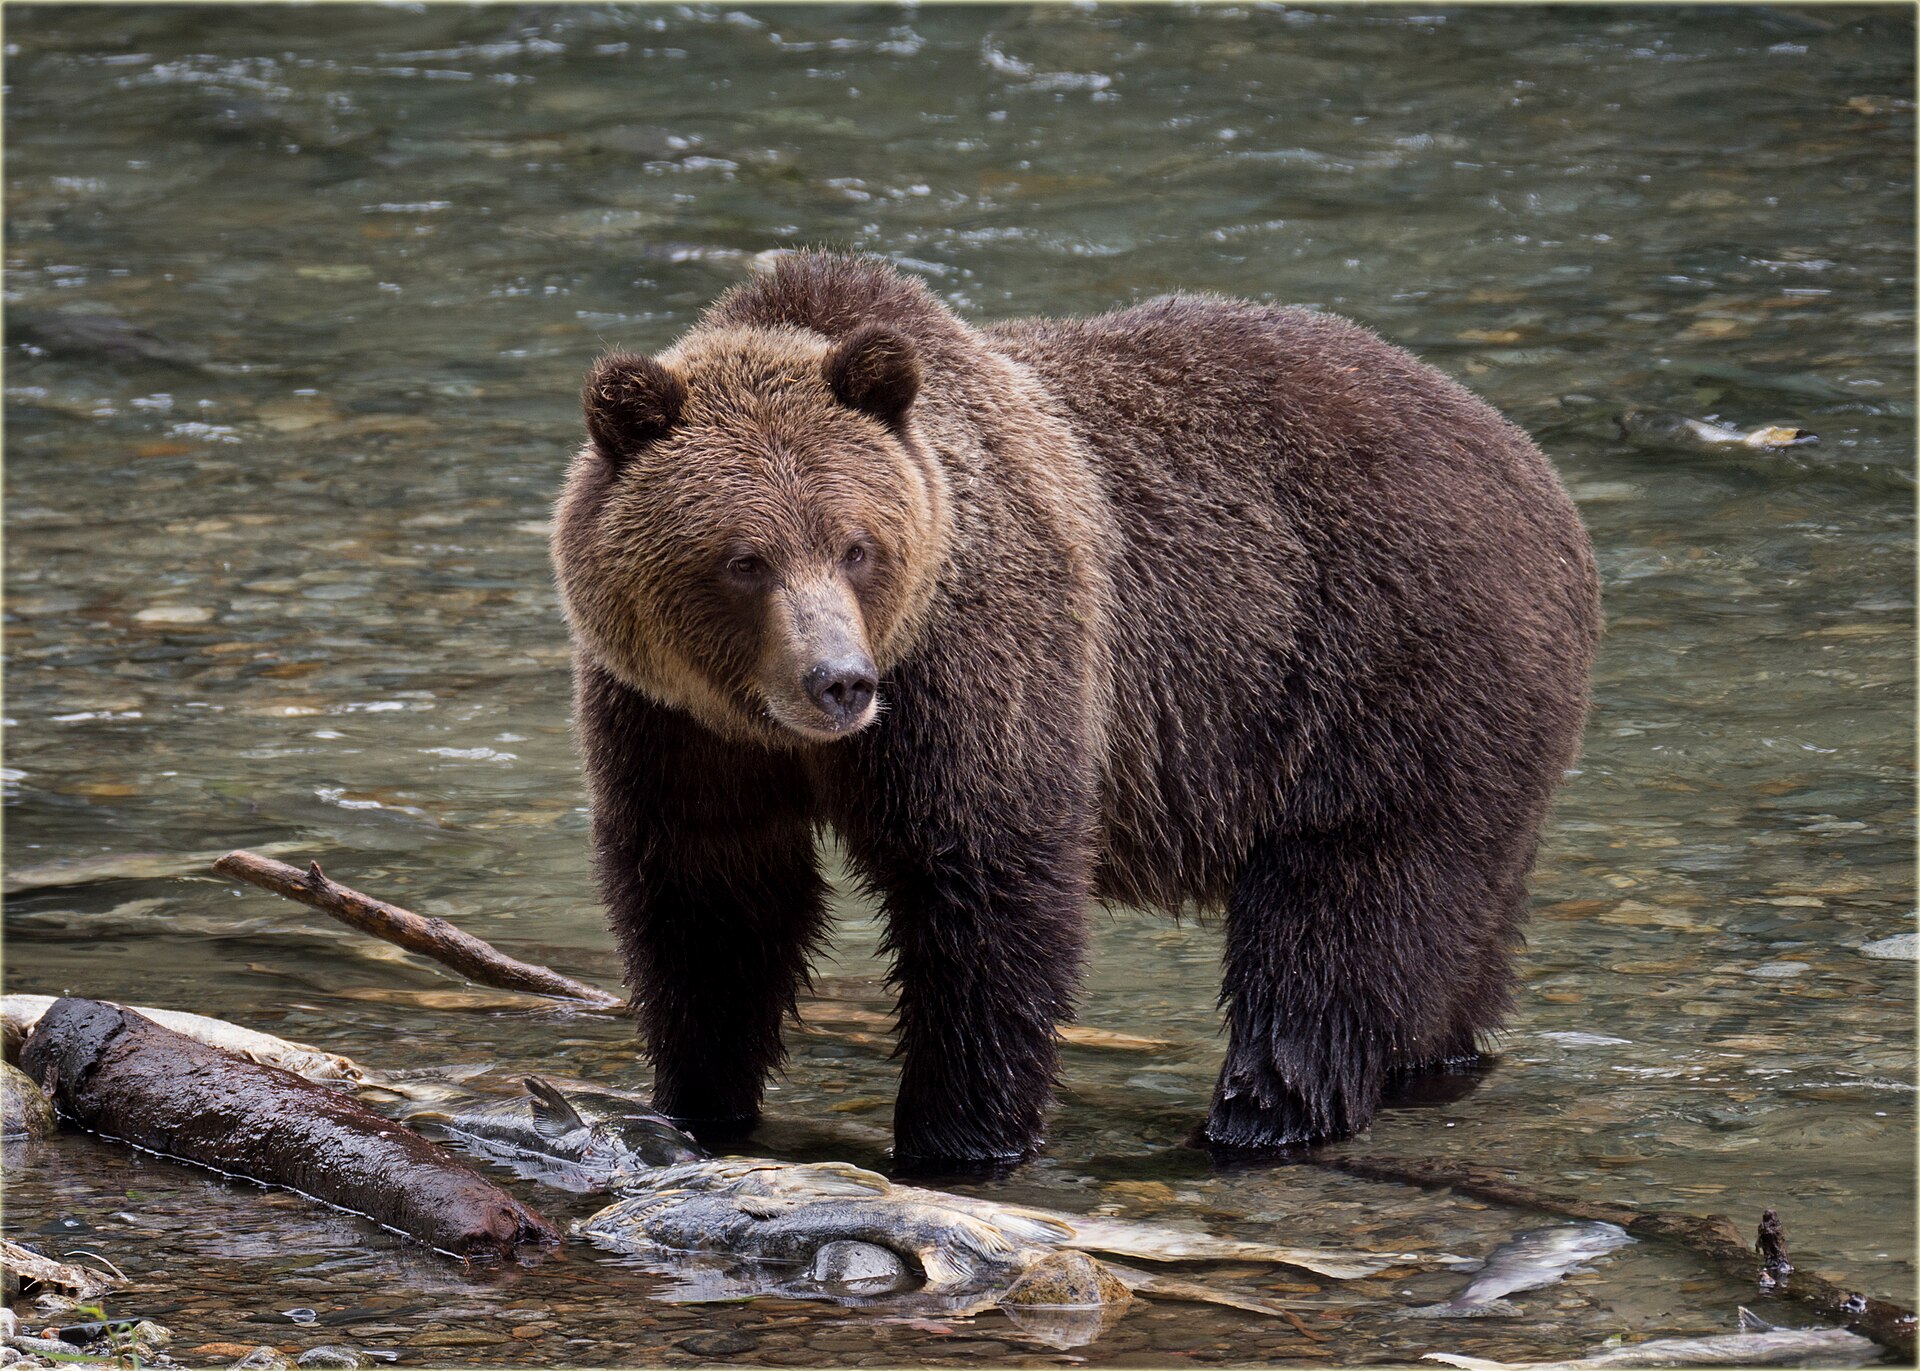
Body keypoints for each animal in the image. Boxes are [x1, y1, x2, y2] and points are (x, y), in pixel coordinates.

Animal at [551, 251, 1600, 1166]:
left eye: (856, 546)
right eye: (744, 558)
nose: (838, 680)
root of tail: (1537, 474)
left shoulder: (975, 658)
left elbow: (984, 882)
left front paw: (958, 1137)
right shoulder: (676, 722)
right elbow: (712, 897)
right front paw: (699, 1100)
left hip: (1388, 666)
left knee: (1344, 903)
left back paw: (1262, 1115)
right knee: (1457, 929)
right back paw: (1431, 1062)